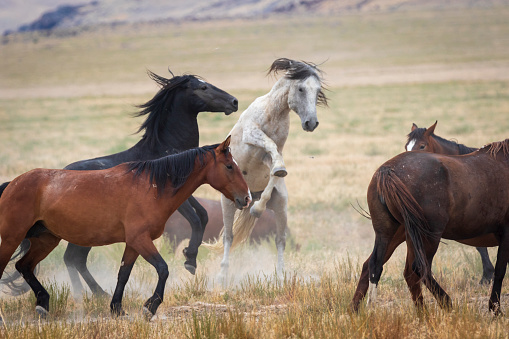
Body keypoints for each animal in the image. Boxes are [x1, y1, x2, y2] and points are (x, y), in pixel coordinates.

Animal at [0, 69, 238, 298]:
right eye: (203, 87)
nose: (234, 102)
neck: (165, 152)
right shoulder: (175, 199)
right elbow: (196, 219)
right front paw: (189, 259)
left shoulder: (186, 194)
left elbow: (203, 215)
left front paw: (191, 257)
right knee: (72, 258)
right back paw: (86, 295)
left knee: (74, 258)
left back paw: (95, 293)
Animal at [0, 138, 250, 322]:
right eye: (229, 166)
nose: (246, 198)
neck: (151, 187)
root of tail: (12, 184)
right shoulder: (141, 240)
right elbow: (163, 269)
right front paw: (150, 307)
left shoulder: (133, 243)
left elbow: (123, 274)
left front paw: (117, 308)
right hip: (12, 237)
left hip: (46, 240)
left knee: (24, 266)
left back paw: (43, 304)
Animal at [203, 57, 328, 284]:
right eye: (301, 88)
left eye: (318, 90)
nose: (311, 123)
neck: (273, 113)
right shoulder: (252, 135)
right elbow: (268, 143)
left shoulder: (268, 157)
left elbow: (274, 169)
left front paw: (259, 206)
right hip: (227, 204)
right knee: (228, 237)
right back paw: (222, 275)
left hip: (280, 208)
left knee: (280, 240)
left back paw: (280, 276)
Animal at [350, 138, 508, 316]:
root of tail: (387, 170)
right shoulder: (506, 232)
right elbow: (500, 270)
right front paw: (495, 308)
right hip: (428, 235)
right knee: (419, 268)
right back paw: (445, 303)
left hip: (390, 233)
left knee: (375, 265)